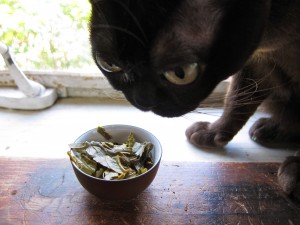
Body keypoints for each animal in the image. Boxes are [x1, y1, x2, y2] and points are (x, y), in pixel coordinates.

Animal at [89, 0, 300, 200]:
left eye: (181, 73)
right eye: (109, 63)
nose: (142, 101)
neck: (271, 40)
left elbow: (237, 97)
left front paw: (296, 172)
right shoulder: (256, 65)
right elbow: (237, 99)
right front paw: (213, 132)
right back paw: (270, 128)